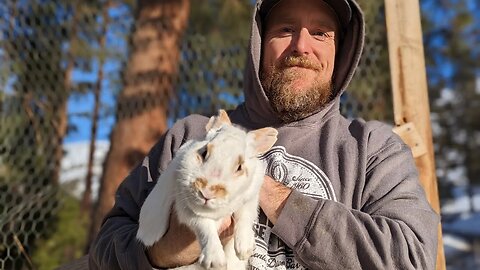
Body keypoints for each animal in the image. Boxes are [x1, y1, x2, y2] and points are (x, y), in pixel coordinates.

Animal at [136, 108, 278, 268]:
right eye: (203, 152)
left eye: (240, 167)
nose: (207, 192)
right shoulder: (188, 210)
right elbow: (205, 227)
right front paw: (215, 261)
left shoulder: (250, 199)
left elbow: (244, 217)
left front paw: (245, 249)